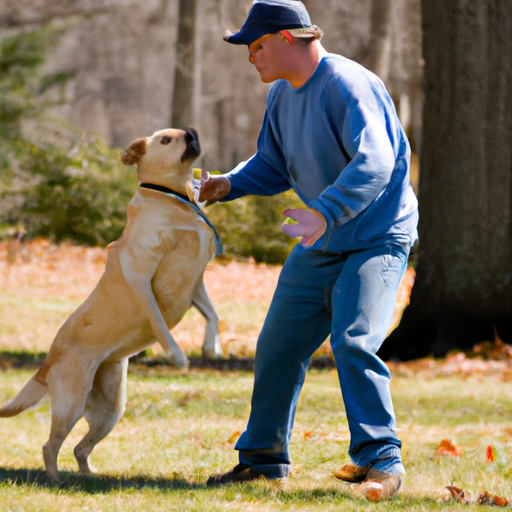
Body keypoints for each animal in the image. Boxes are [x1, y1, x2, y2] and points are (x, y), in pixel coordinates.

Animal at [1, 127, 223, 480]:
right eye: (165, 139)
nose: (190, 131)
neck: (172, 198)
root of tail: (46, 364)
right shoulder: (139, 276)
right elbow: (161, 325)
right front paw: (177, 355)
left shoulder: (197, 281)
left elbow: (212, 315)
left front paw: (211, 347)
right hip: (71, 403)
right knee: (50, 446)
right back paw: (56, 479)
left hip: (111, 411)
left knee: (80, 447)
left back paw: (88, 475)